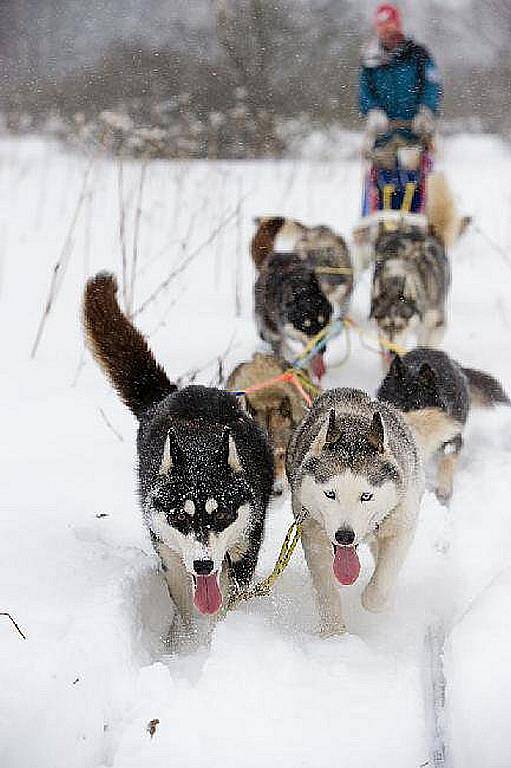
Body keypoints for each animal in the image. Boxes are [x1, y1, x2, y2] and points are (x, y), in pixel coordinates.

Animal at [83, 272, 276, 632]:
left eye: (222, 515)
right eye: (180, 517)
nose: (202, 565)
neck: (199, 443)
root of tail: (171, 395)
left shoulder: (245, 545)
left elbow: (229, 596)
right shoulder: (171, 555)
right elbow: (187, 603)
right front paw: (189, 640)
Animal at [288, 388, 424, 632]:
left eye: (366, 496)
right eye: (330, 494)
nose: (344, 536)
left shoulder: (402, 526)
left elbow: (379, 589)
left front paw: (374, 600)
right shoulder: (312, 536)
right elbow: (326, 590)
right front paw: (334, 633)